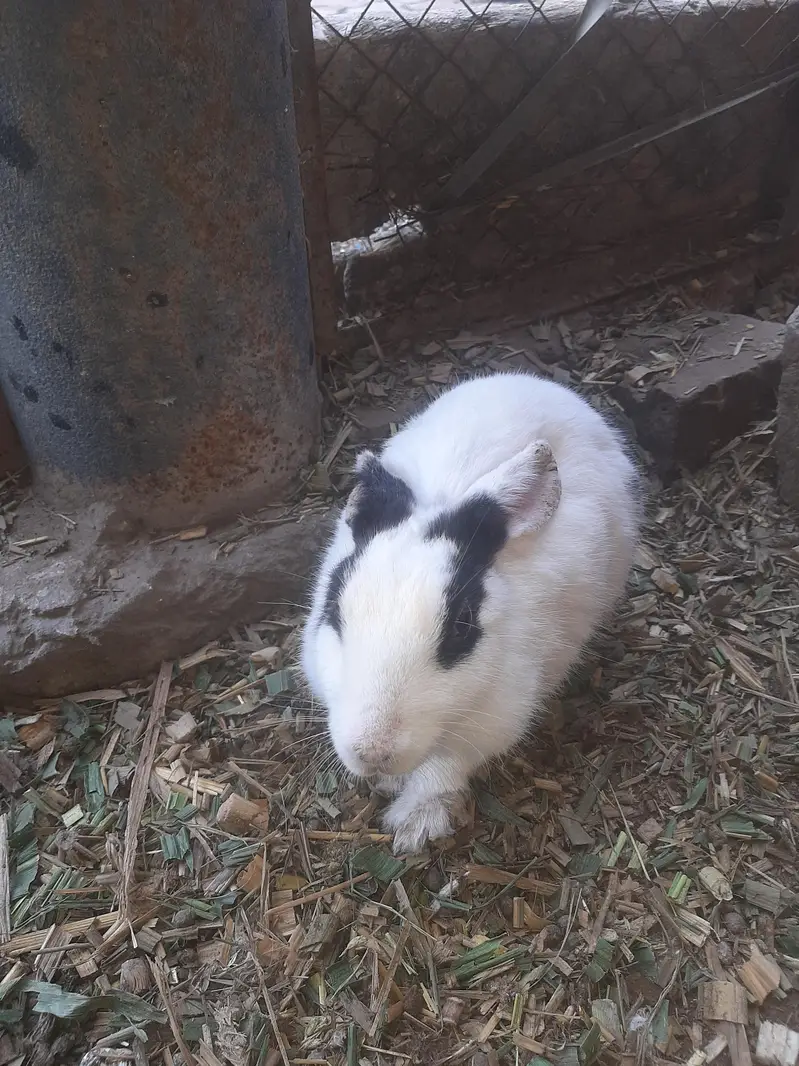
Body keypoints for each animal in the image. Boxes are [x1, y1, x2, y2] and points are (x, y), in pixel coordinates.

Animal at [301, 371, 641, 853]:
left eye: (461, 627)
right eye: (334, 611)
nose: (373, 753)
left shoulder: (491, 720)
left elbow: (444, 767)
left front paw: (413, 827)